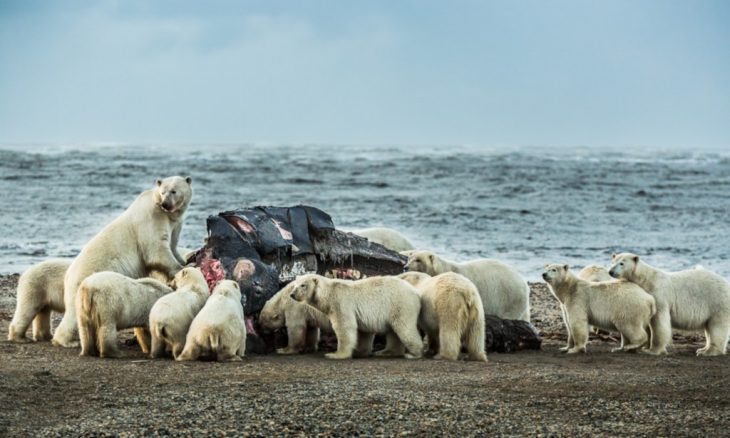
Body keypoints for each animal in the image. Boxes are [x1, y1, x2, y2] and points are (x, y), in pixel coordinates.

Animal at [52, 176, 192, 348]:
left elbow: (172, 245)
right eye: (163, 191)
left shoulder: (174, 225)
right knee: (72, 313)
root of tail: (68, 275)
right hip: (82, 282)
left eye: (174, 191)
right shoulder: (152, 220)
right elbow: (156, 251)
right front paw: (180, 267)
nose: (165, 204)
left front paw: (185, 259)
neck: (165, 214)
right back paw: (68, 341)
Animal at [286, 274, 418, 360]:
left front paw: (335, 354)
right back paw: (386, 352)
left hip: (400, 304)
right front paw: (359, 352)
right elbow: (363, 332)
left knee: (404, 327)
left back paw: (413, 354)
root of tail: (415, 291)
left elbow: (344, 326)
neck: (328, 293)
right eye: (294, 285)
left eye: (303, 285)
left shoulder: (340, 303)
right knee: (393, 331)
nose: (292, 294)